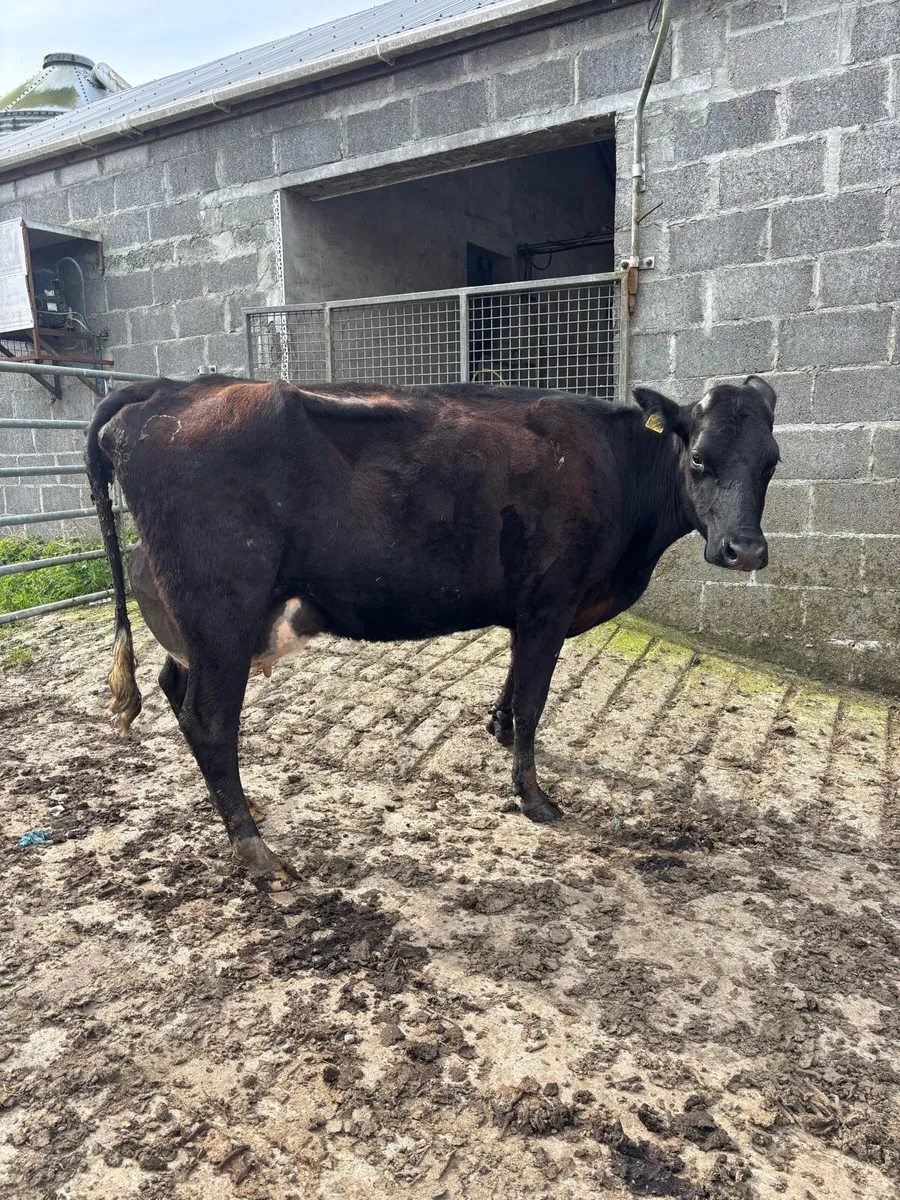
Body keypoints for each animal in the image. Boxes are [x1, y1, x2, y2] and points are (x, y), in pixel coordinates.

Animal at [85, 375, 779, 890]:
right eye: (699, 459)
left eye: (772, 462)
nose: (744, 549)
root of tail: (172, 390)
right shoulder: (551, 601)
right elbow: (534, 699)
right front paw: (534, 797)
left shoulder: (528, 609)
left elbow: (514, 684)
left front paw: (499, 731)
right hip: (221, 612)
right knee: (208, 720)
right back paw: (258, 854)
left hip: (192, 624)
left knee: (174, 686)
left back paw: (246, 815)